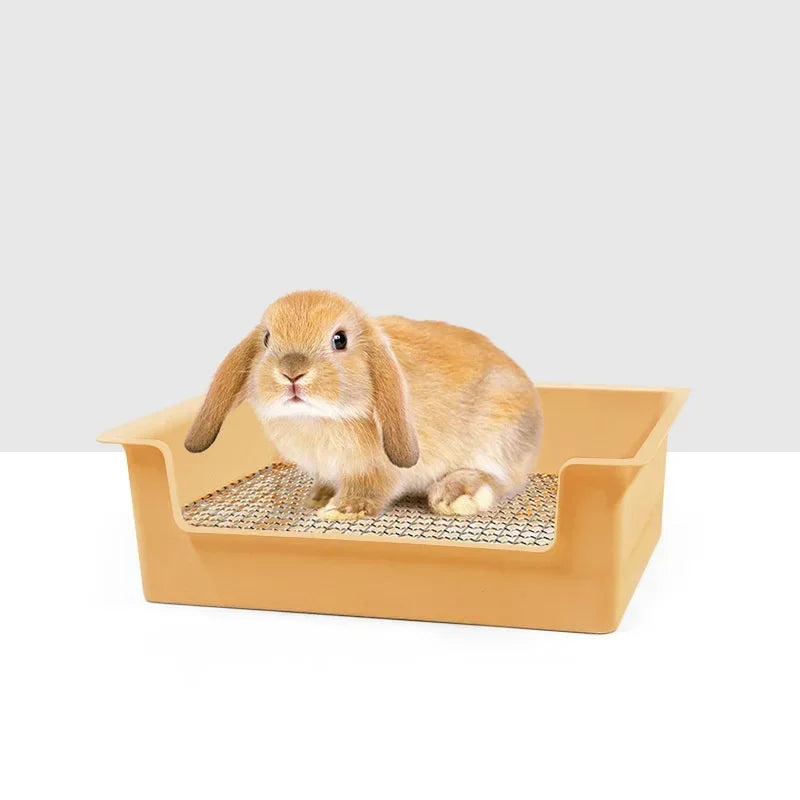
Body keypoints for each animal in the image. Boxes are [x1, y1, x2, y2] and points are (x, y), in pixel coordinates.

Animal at [185, 290, 543, 520]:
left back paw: (457, 495)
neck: (317, 419)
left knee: (501, 479)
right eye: (267, 339)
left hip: (498, 437)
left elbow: (370, 488)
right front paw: (318, 498)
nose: (291, 372)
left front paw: (340, 511)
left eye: (339, 339)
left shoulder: (377, 470)